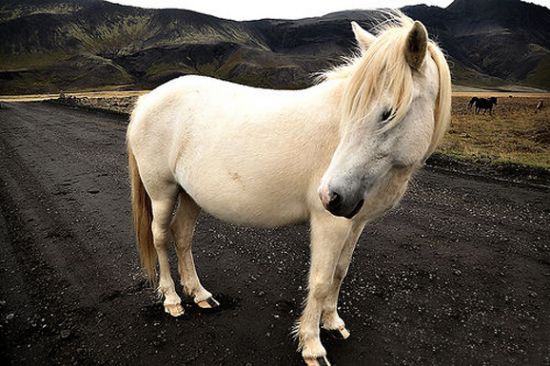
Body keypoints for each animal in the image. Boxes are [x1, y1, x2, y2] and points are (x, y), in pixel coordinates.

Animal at [126, 14, 452, 366]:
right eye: (351, 110)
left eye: (388, 113)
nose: (331, 195)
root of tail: (148, 100)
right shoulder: (330, 223)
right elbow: (320, 280)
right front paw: (312, 345)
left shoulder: (355, 222)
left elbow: (340, 271)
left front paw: (333, 322)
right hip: (162, 191)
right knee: (160, 237)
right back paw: (172, 300)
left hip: (190, 195)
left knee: (182, 235)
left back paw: (200, 294)